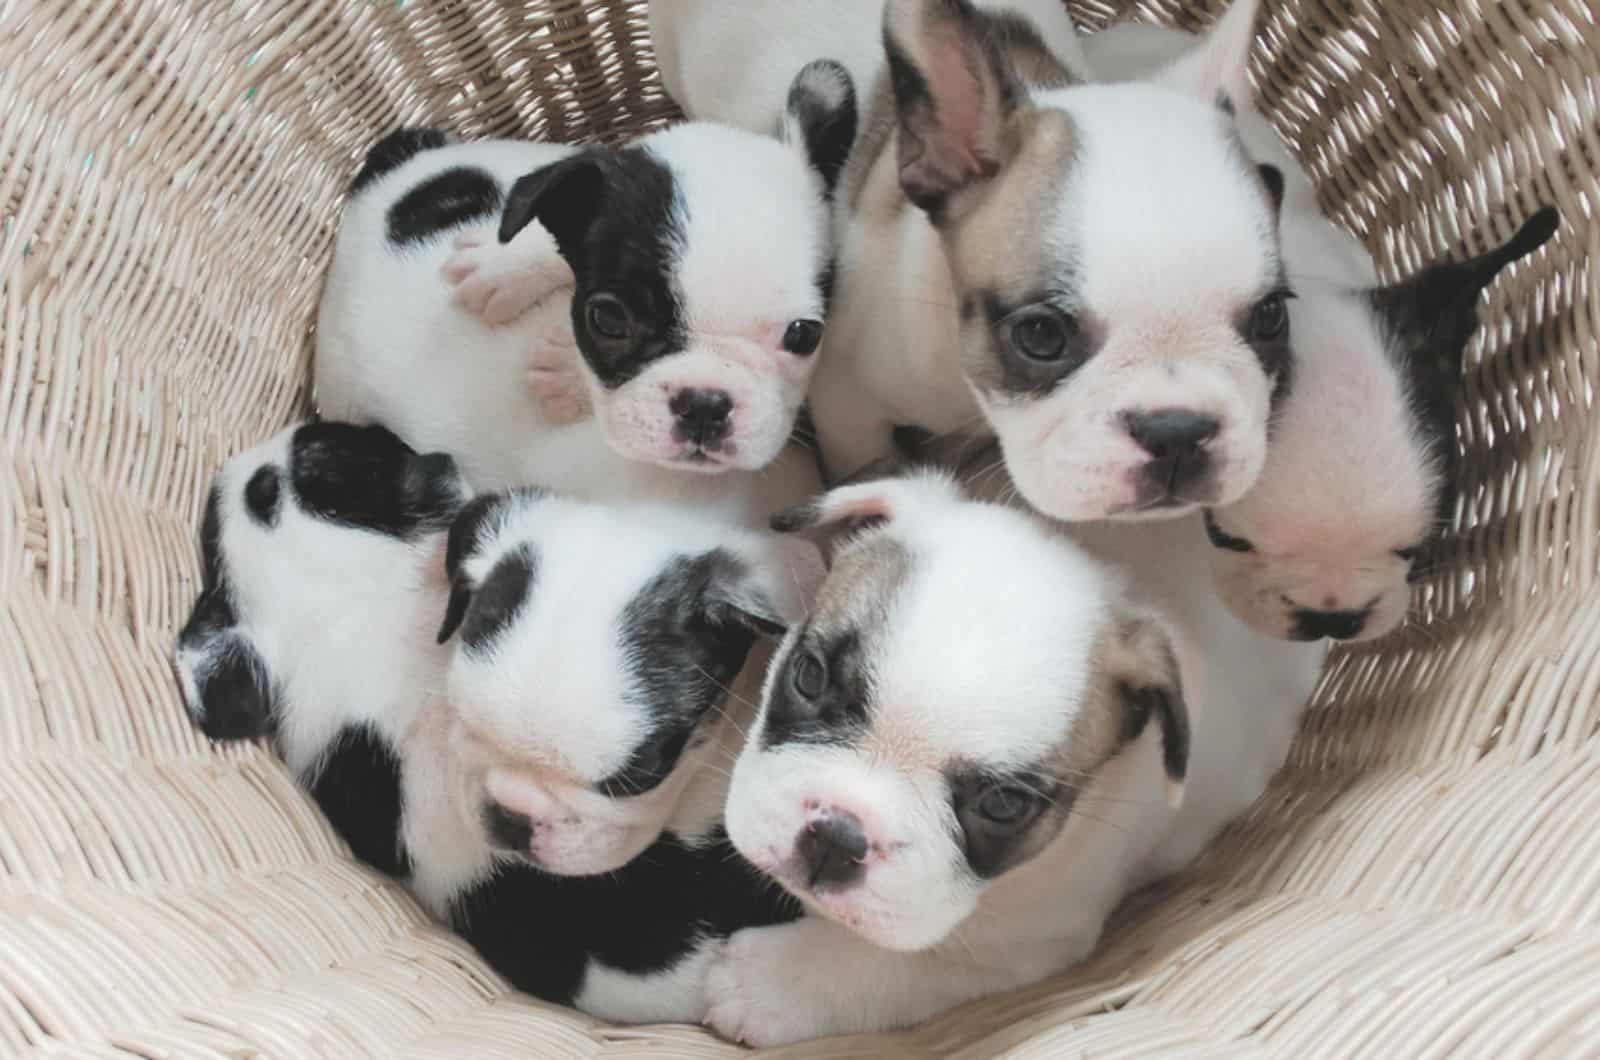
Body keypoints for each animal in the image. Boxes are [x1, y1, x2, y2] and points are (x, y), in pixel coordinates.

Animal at [713, 470, 1324, 1043]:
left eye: (1004, 805)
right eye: (809, 675)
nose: (837, 837)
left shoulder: (1022, 943)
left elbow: (892, 964)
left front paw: (764, 984)